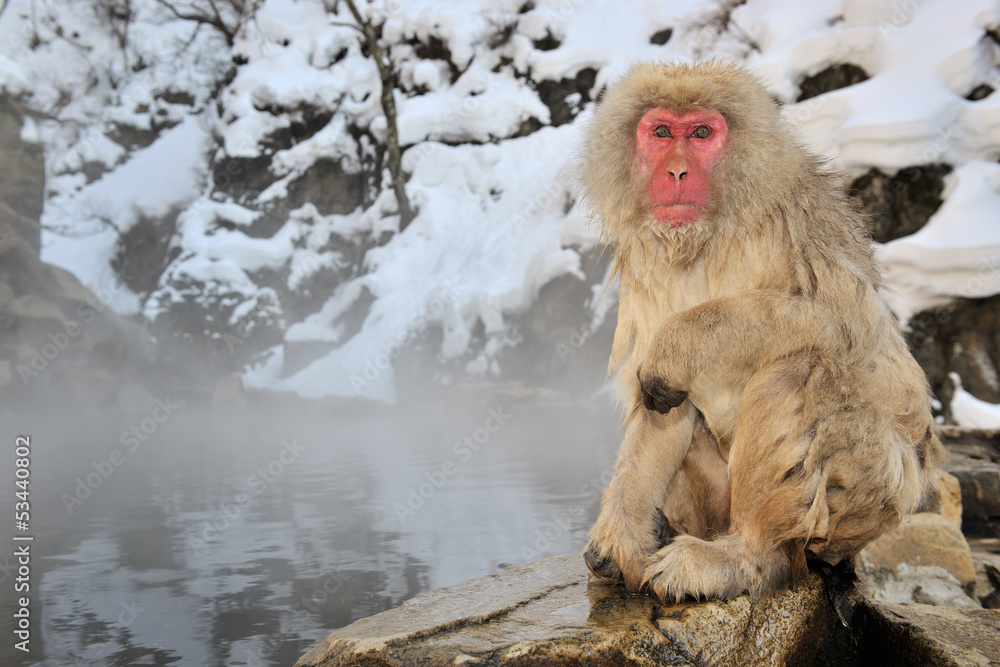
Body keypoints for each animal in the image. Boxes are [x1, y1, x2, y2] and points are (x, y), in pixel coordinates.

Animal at [578, 61, 943, 604]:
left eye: (701, 133)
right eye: (661, 132)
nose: (677, 172)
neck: (708, 235)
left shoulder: (795, 219)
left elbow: (845, 321)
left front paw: (677, 345)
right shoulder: (651, 266)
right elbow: (662, 407)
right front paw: (620, 538)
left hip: (872, 495)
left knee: (804, 369)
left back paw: (745, 558)